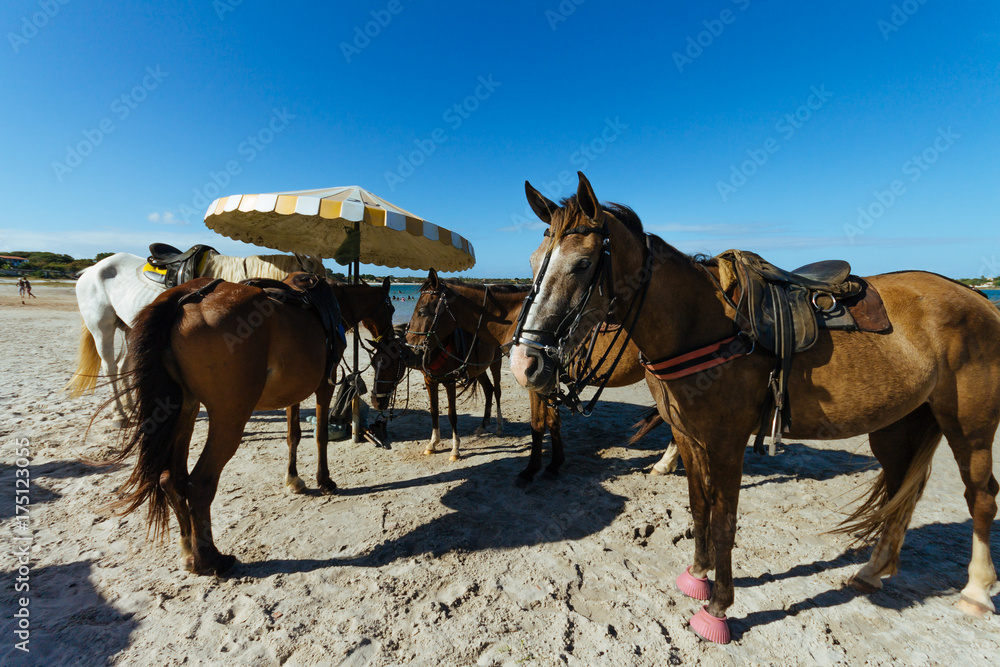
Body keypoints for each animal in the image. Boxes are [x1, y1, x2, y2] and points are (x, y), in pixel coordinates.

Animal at [65, 250, 324, 422]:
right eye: (313, 277)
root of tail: (90, 270)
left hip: (131, 330)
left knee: (123, 366)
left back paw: (130, 407)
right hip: (102, 327)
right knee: (109, 367)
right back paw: (119, 414)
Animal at [109, 274, 348, 576]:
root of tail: (185, 296)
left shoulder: (292, 393)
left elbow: (293, 435)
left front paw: (294, 479)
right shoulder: (325, 386)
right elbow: (320, 436)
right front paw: (324, 480)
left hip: (185, 409)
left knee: (171, 479)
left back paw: (189, 549)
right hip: (230, 417)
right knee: (200, 484)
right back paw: (211, 559)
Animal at [406, 268, 680, 482]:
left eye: (422, 311)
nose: (410, 348)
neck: (522, 323)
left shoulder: (536, 385)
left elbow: (537, 424)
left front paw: (531, 469)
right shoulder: (548, 385)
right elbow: (552, 422)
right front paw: (555, 464)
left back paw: (664, 463)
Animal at [512, 175, 1000, 644]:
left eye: (582, 264)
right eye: (534, 262)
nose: (524, 363)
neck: (704, 326)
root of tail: (979, 298)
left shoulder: (728, 443)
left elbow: (724, 520)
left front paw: (717, 608)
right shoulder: (689, 438)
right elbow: (699, 506)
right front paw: (698, 575)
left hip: (969, 426)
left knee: (980, 496)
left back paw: (976, 590)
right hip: (898, 426)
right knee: (902, 493)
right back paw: (872, 570)